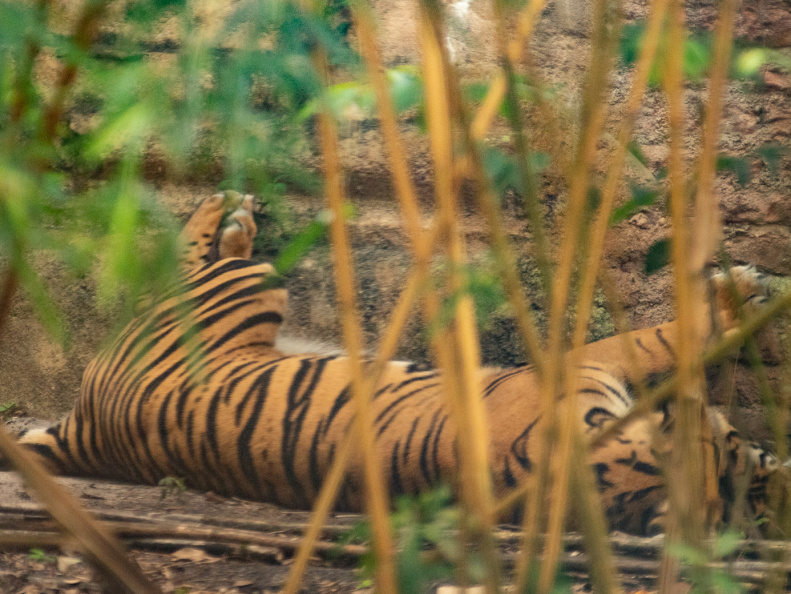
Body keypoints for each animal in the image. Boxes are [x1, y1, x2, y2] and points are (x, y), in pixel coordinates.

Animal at [9, 192, 782, 535]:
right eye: (735, 444)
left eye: (745, 468)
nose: (773, 474)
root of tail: (84, 428)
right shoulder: (578, 363)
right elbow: (662, 338)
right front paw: (744, 293)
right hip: (247, 285)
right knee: (202, 249)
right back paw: (230, 207)